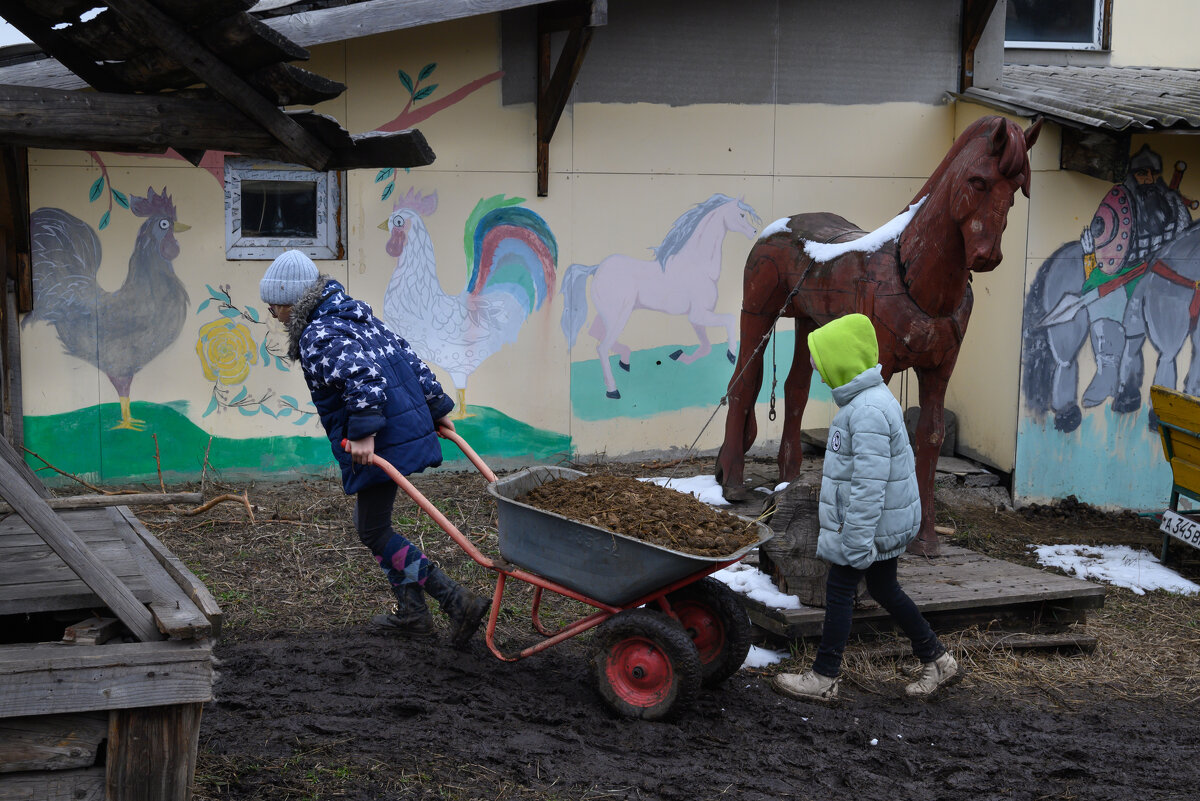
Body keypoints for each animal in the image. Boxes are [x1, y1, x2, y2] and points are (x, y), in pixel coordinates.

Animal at [559, 191, 758, 398]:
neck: (698, 266)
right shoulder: (699, 314)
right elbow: (729, 320)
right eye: (741, 214)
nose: (753, 232)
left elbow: (705, 347)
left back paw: (625, 361)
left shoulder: (696, 318)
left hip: (609, 314)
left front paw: (678, 356)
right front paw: (731, 355)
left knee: (595, 333)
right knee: (602, 347)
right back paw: (613, 390)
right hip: (619, 315)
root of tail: (596, 269)